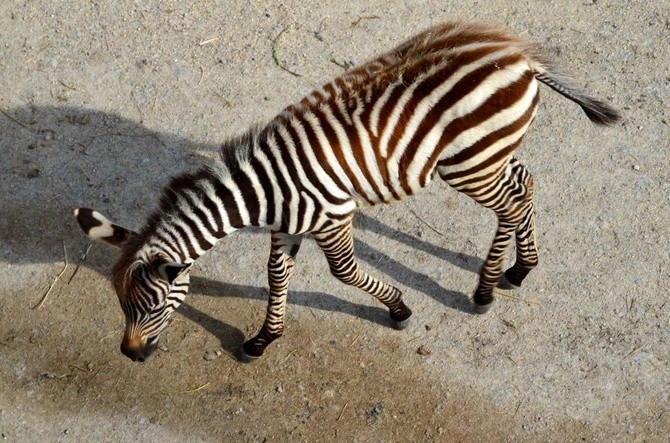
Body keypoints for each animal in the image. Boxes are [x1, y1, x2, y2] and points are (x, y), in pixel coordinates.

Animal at [72, 20, 620, 362]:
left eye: (150, 308)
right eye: (122, 305)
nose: (130, 355)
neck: (265, 190)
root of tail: (520, 56)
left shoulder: (334, 218)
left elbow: (345, 274)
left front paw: (399, 310)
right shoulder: (288, 227)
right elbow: (275, 277)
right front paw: (264, 339)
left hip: (469, 163)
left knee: (511, 202)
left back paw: (485, 290)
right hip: (486, 154)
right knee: (524, 183)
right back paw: (521, 269)